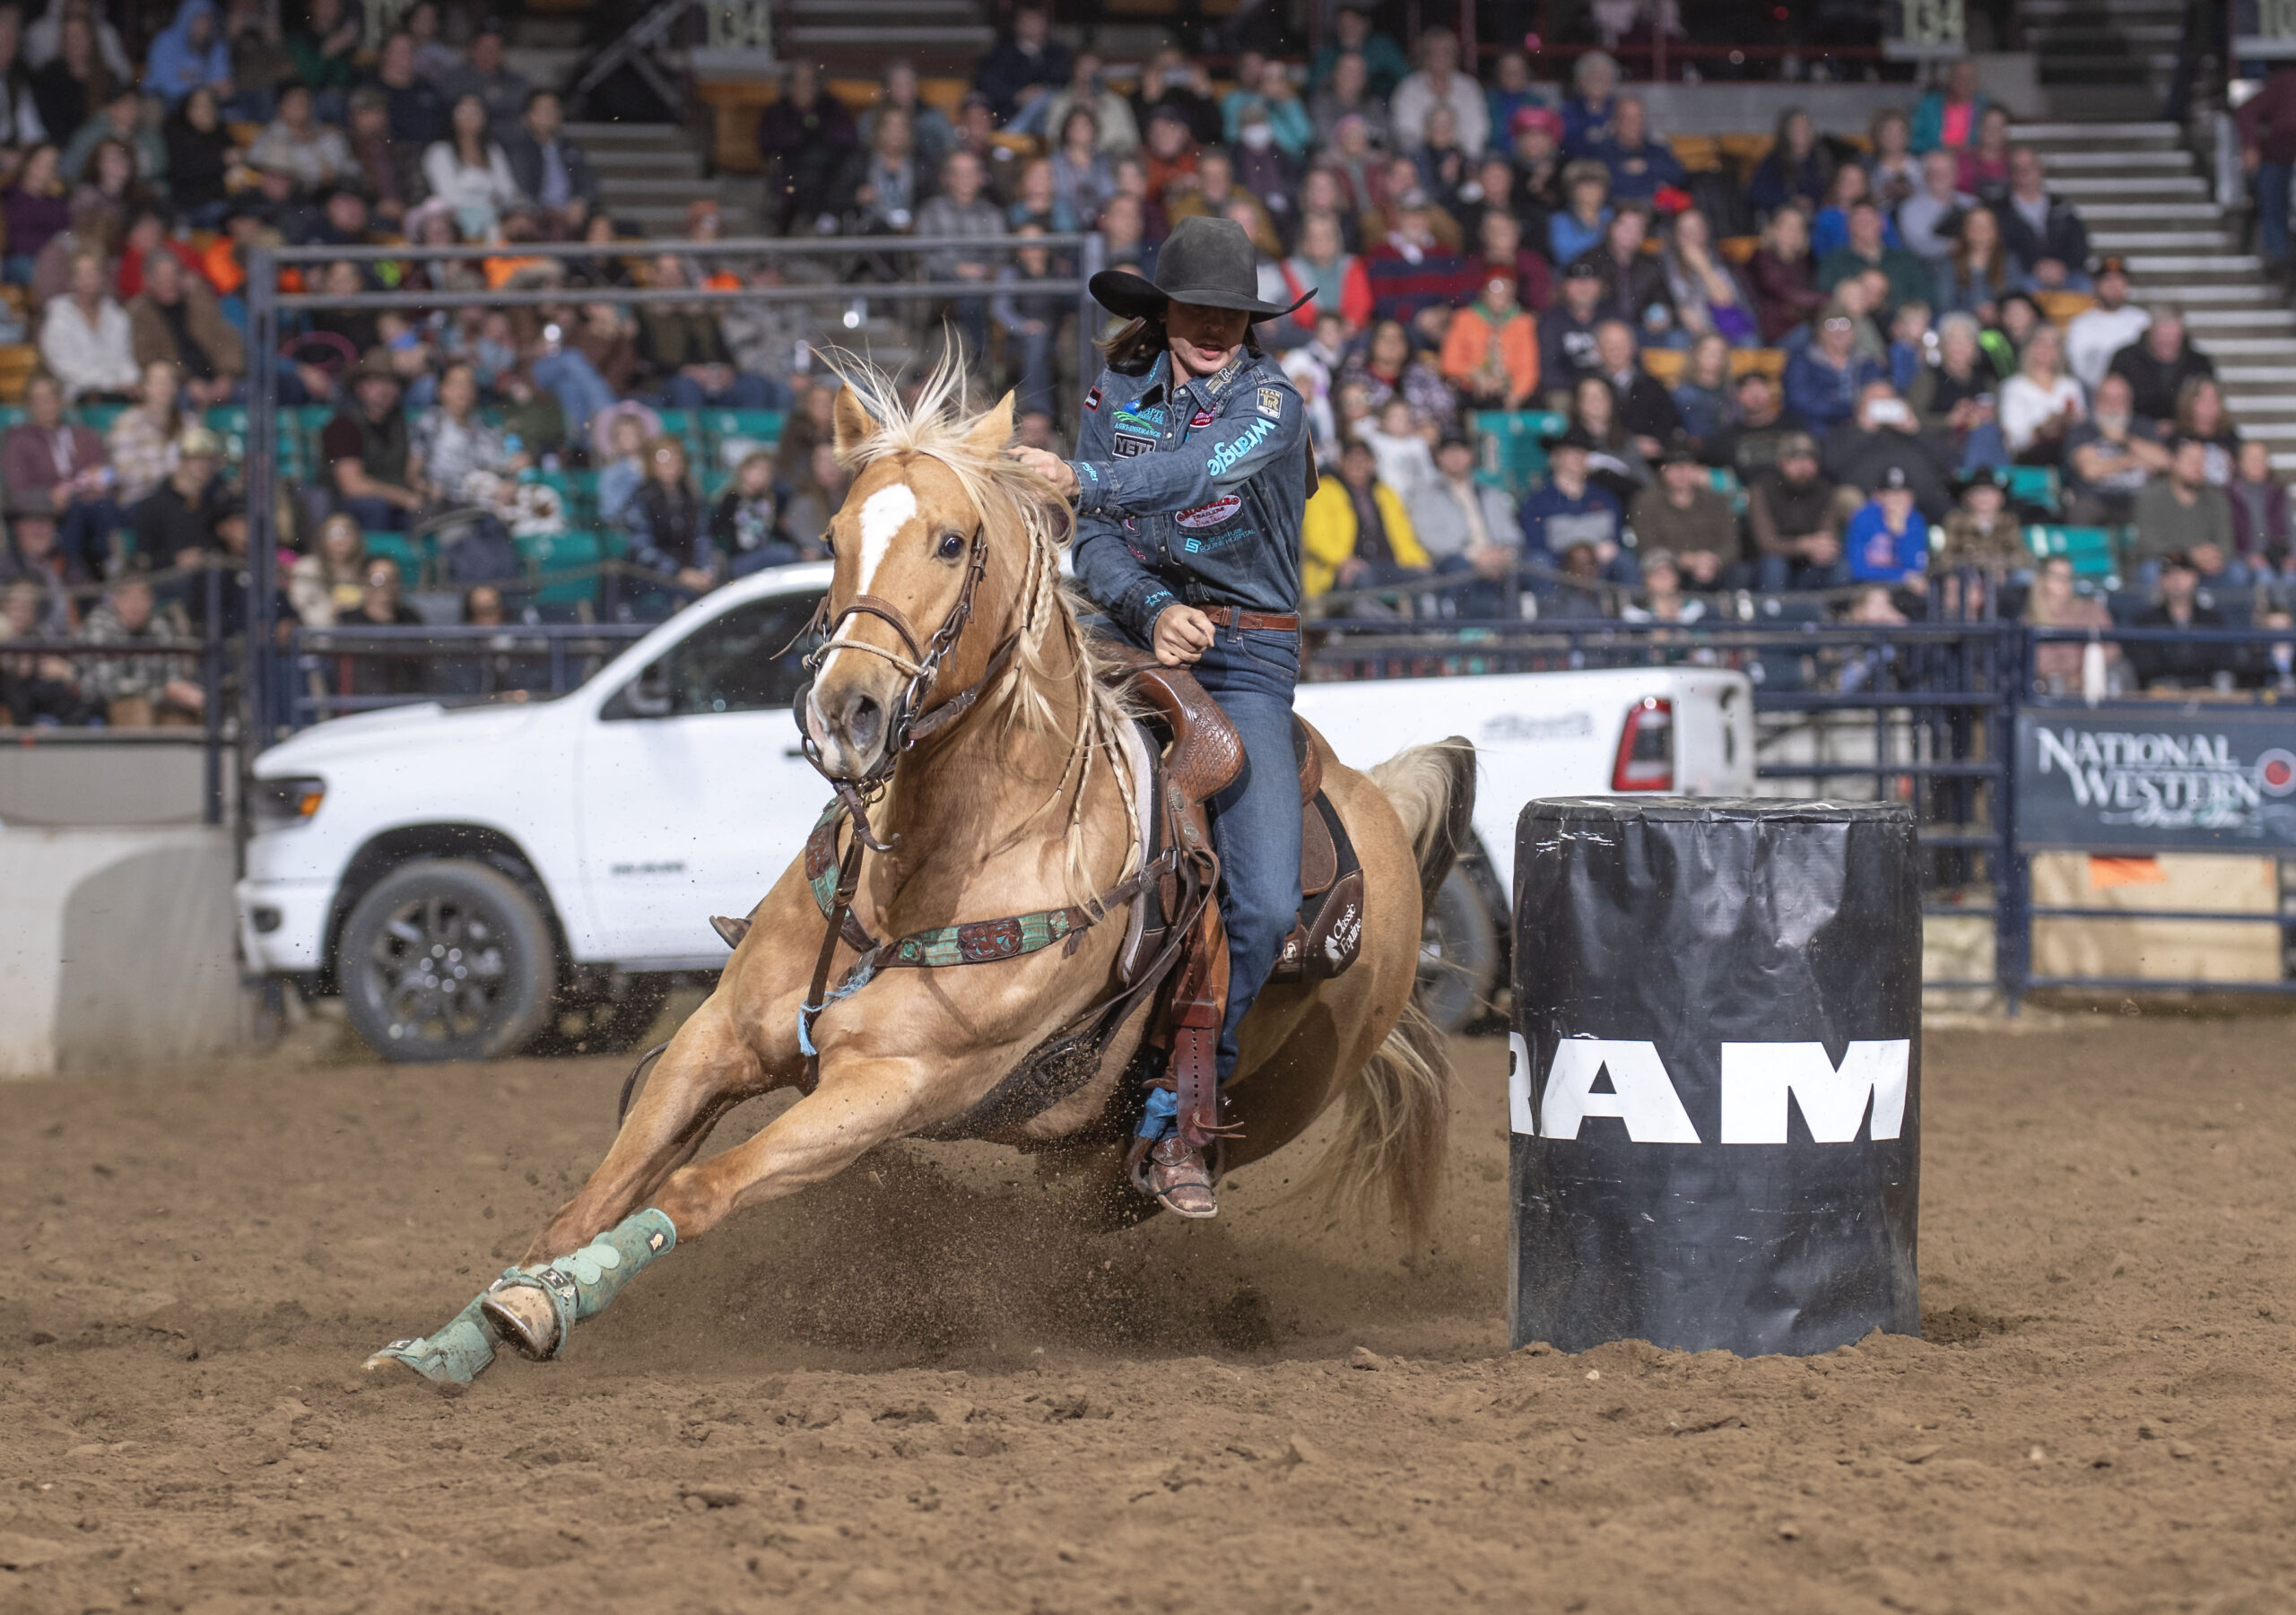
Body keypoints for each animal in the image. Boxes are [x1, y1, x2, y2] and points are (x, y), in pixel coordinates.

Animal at [365, 361, 1478, 1383]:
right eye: (831, 537)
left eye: (950, 541)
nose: (845, 711)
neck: (949, 863)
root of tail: (1380, 807)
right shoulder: (719, 1038)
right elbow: (590, 1198)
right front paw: (462, 1332)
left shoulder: (884, 1087)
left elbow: (694, 1189)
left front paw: (550, 1307)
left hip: (1217, 1130)